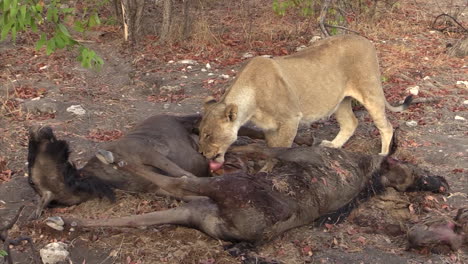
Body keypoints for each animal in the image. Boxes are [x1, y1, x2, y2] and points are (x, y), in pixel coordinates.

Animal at [199, 34, 412, 169]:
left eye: (208, 135)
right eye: (200, 133)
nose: (201, 154)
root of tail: (366, 40)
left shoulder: (290, 119)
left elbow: (279, 150)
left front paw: (268, 171)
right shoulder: (269, 128)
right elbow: (270, 147)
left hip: (370, 91)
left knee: (386, 126)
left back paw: (383, 155)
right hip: (340, 100)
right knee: (351, 123)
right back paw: (332, 146)